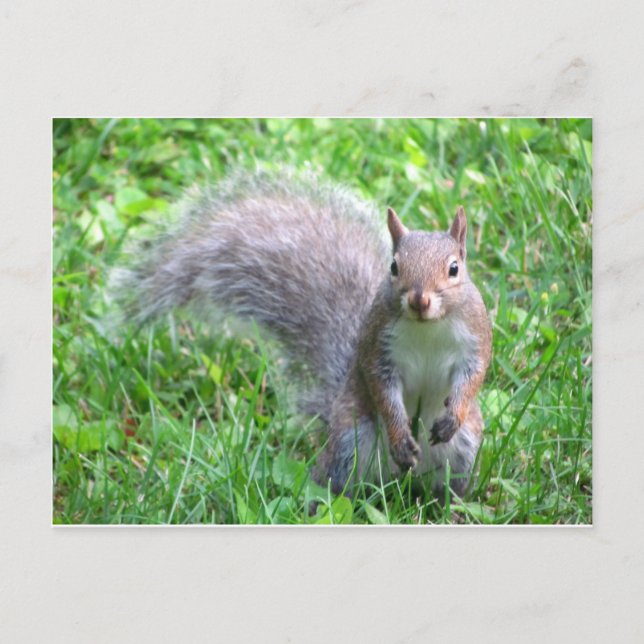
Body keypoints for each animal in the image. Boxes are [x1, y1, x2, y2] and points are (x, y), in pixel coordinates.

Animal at [111, 170, 492, 501]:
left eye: (454, 268)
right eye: (395, 266)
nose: (419, 300)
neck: (428, 327)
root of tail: (401, 481)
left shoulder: (475, 339)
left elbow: (473, 376)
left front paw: (453, 415)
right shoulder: (378, 350)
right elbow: (383, 390)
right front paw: (400, 437)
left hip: (462, 451)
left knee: (448, 488)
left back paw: (451, 509)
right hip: (351, 441)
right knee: (337, 484)